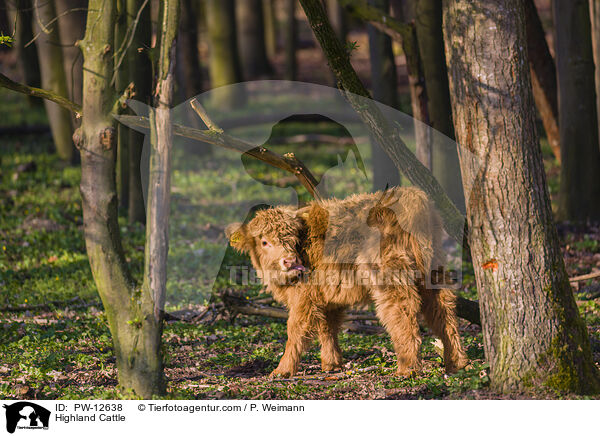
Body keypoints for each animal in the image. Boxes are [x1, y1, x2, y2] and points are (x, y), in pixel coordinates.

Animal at [227, 186, 466, 376]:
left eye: (293, 239)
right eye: (264, 242)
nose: (290, 261)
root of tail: (411, 195)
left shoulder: (304, 298)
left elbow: (295, 330)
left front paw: (282, 370)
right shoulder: (327, 298)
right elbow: (327, 328)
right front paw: (331, 364)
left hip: (390, 275)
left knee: (404, 314)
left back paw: (408, 369)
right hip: (434, 271)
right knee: (444, 312)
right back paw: (457, 363)